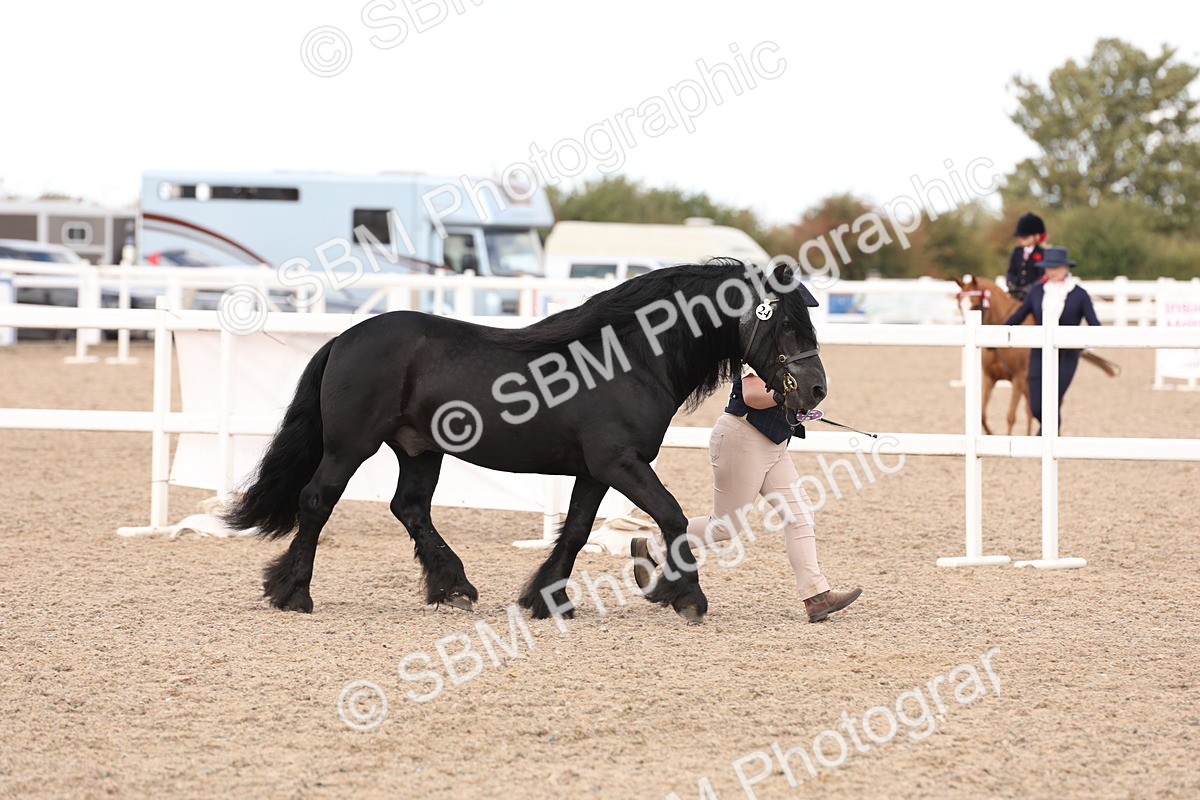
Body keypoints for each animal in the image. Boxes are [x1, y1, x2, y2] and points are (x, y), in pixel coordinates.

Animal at [223, 260, 826, 625]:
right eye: (786, 326)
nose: (817, 388)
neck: (629, 359)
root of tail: (344, 338)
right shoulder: (620, 463)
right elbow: (672, 516)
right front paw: (688, 597)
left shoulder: (595, 470)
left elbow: (577, 531)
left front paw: (547, 598)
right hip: (351, 446)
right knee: (317, 501)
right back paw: (293, 593)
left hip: (419, 449)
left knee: (410, 507)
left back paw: (453, 587)